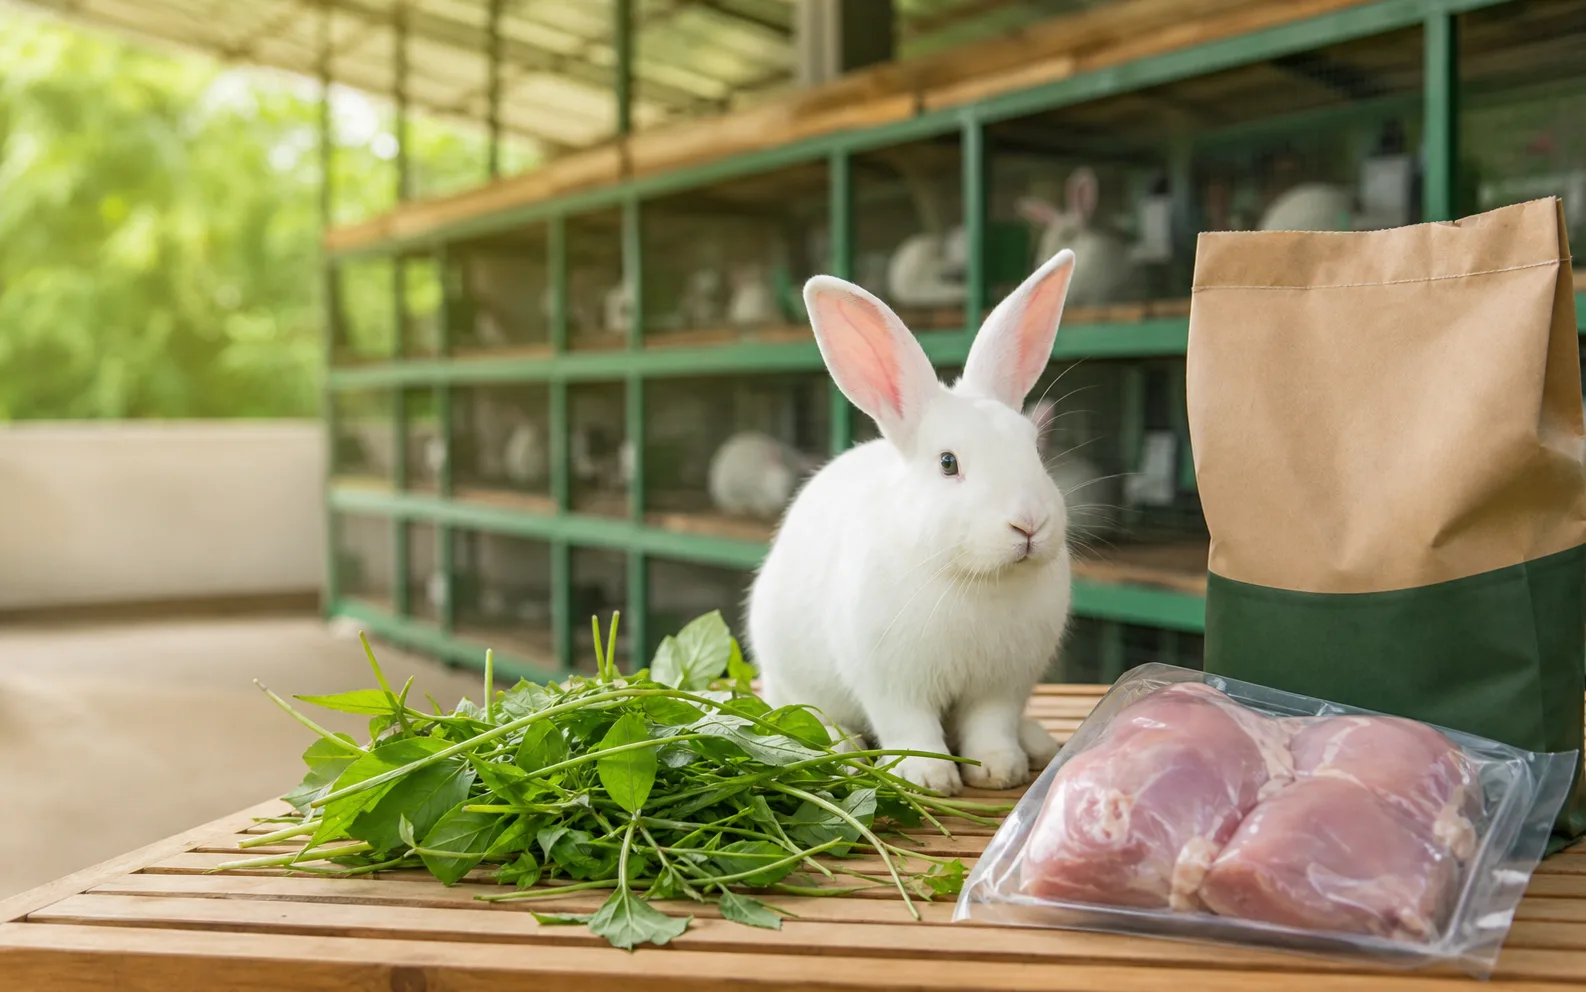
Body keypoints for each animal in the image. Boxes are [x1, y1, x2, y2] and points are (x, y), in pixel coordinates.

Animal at [747, 249, 1079, 796]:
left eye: (1034, 449)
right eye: (947, 463)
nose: (1028, 524)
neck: (975, 580)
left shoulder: (1002, 687)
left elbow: (990, 726)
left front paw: (999, 770)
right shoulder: (893, 683)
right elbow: (911, 728)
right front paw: (930, 777)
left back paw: (1036, 742)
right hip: (791, 677)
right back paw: (841, 747)